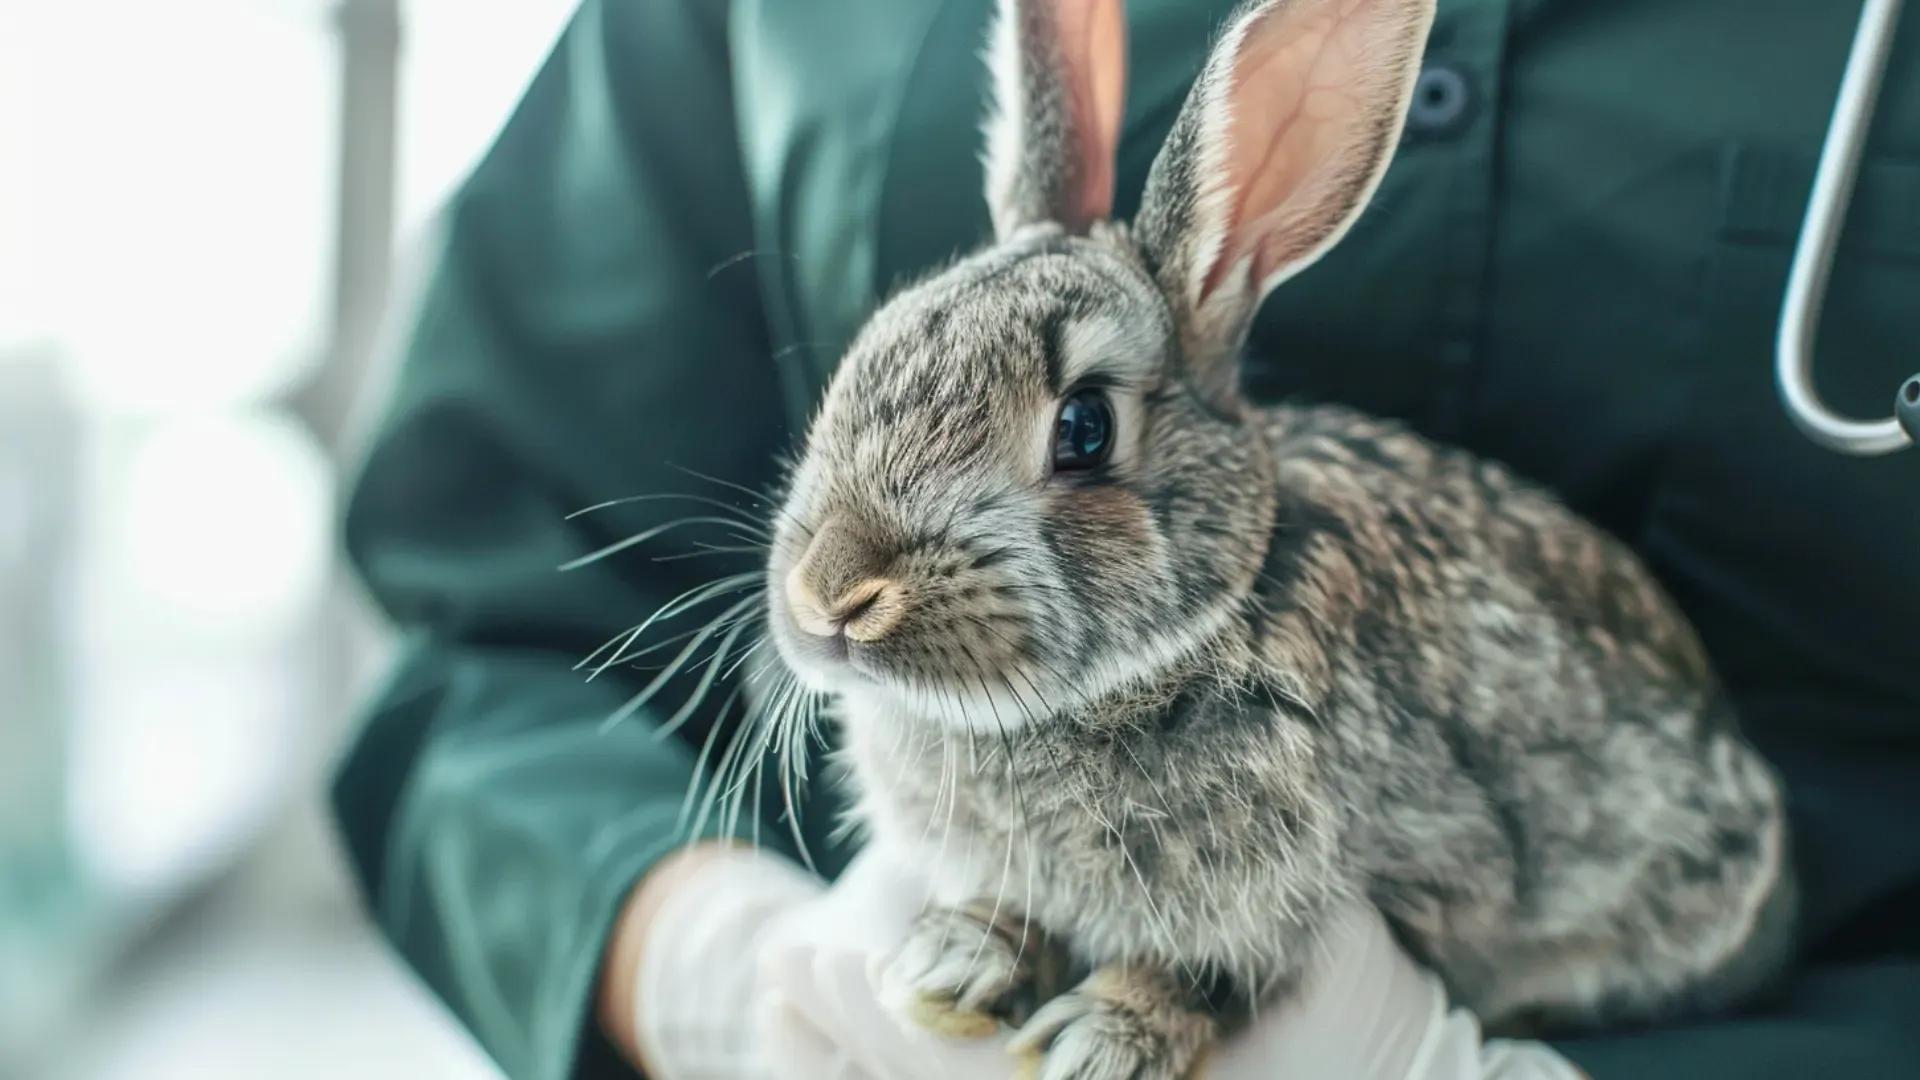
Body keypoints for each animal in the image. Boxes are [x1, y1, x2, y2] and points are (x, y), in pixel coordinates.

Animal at [752, 2, 1797, 1076]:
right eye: (871, 344)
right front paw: (957, 961)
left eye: (1084, 428)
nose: (830, 594)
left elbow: (1218, 971)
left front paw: (1105, 1034)